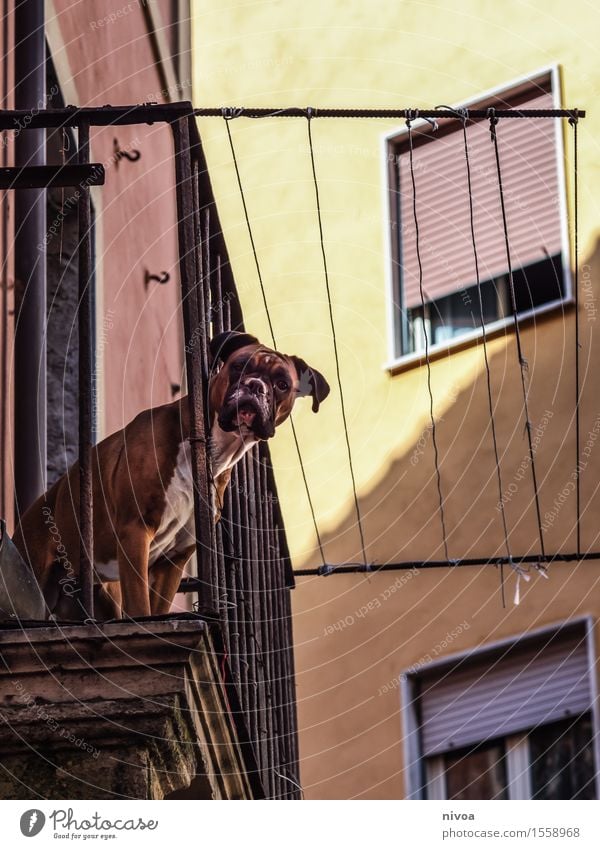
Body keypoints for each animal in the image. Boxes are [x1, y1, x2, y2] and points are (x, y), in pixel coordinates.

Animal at [14, 334, 330, 620]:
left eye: (282, 384)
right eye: (239, 366)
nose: (255, 385)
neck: (210, 452)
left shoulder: (175, 559)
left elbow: (159, 608)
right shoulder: (135, 531)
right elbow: (141, 608)